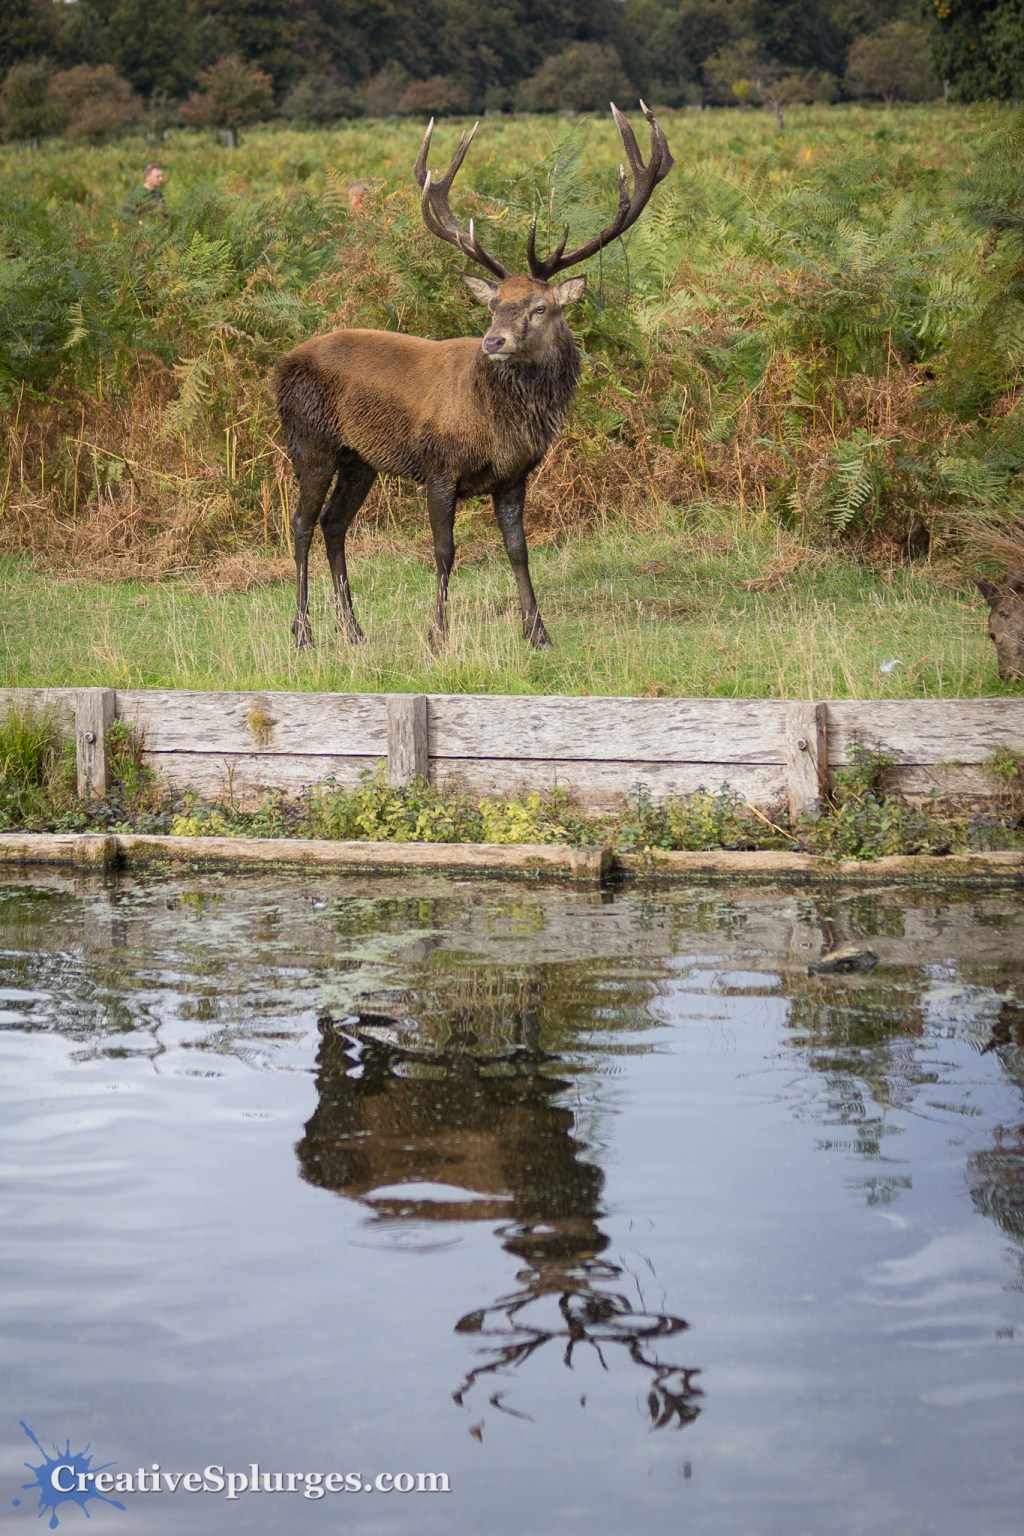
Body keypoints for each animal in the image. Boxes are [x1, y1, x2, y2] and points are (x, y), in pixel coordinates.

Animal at [272, 104, 673, 651]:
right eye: (494, 304)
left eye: (540, 307)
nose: (493, 341)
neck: (498, 427)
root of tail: (280, 367)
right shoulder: (440, 467)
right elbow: (445, 551)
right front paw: (438, 636)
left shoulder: (515, 476)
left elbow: (519, 550)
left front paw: (538, 633)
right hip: (310, 440)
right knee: (300, 524)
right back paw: (303, 634)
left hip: (361, 458)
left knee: (334, 524)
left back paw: (353, 630)